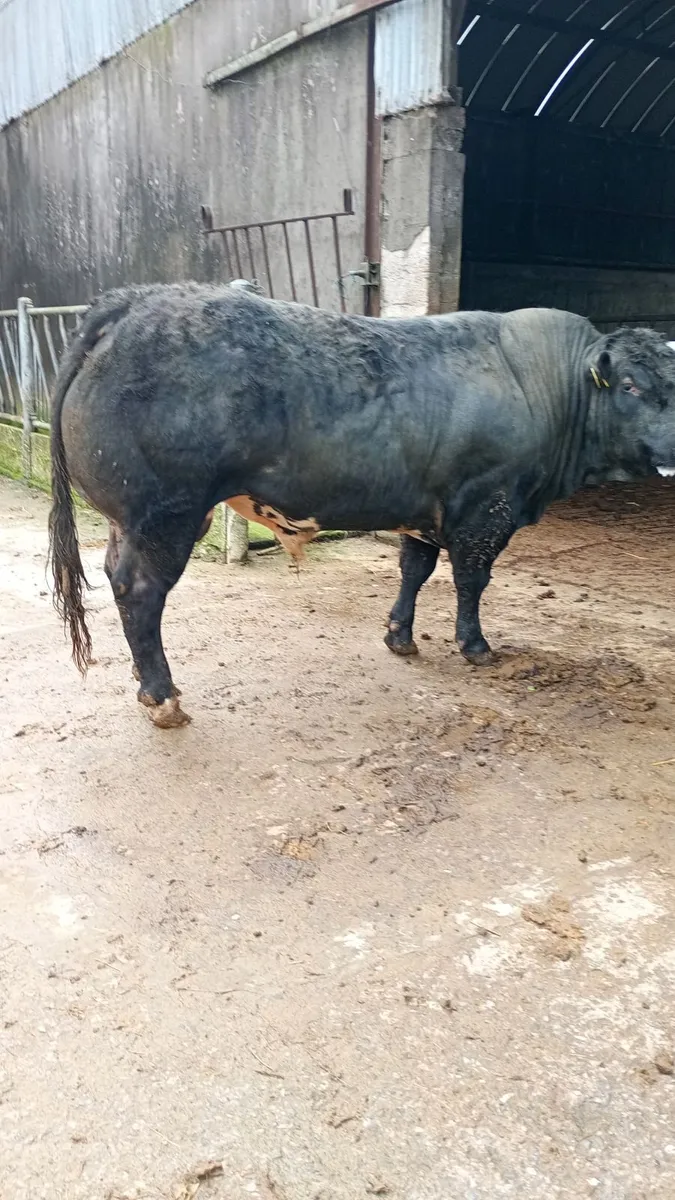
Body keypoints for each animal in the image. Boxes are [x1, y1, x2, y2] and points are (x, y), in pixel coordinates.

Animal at [48, 283, 675, 727]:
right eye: (632, 387)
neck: (544, 386)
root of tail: (135, 300)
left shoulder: (425, 511)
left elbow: (415, 570)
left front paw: (400, 635)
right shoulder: (487, 509)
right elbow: (472, 580)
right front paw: (474, 645)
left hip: (130, 521)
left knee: (117, 580)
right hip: (164, 516)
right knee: (140, 593)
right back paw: (161, 695)